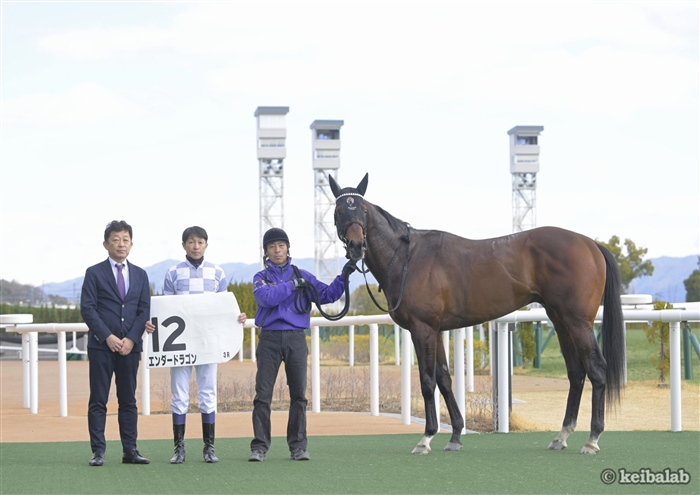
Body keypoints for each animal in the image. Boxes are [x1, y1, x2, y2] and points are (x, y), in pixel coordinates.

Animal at [329, 173, 624, 455]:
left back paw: (592, 439)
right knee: (576, 372)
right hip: (560, 320)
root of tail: (591, 244)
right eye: (339, 210)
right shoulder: (435, 331)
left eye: (362, 209)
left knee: (596, 369)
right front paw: (455, 436)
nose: (356, 245)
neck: (408, 258)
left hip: (578, 322)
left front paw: (426, 438)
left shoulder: (422, 329)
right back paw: (561, 436)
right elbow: (444, 379)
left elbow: (427, 381)